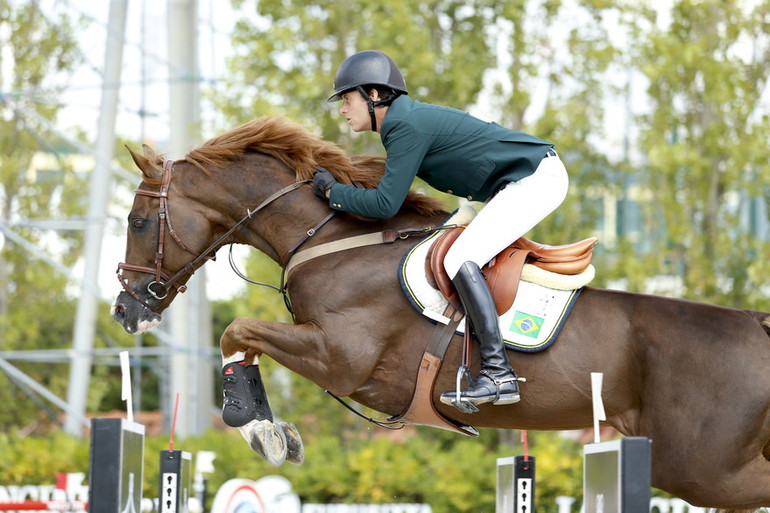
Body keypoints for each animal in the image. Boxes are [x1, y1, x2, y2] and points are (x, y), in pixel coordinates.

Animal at [111, 116, 768, 512]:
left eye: (138, 221)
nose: (124, 310)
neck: (333, 241)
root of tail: (755, 325)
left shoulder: (339, 358)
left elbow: (237, 330)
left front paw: (255, 425)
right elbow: (243, 337)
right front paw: (271, 429)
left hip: (703, 468)